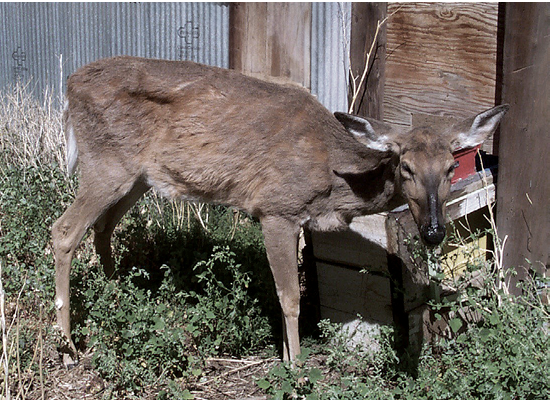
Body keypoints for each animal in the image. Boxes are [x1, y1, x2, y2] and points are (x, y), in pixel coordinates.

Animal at [51, 54, 508, 368]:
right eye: (405, 166)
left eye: (450, 167)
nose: (433, 231)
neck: (333, 177)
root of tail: (70, 85)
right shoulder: (275, 209)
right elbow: (290, 297)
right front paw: (297, 367)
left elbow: (283, 292)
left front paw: (289, 357)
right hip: (105, 164)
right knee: (64, 230)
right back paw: (70, 348)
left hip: (138, 177)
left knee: (102, 229)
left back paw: (118, 299)